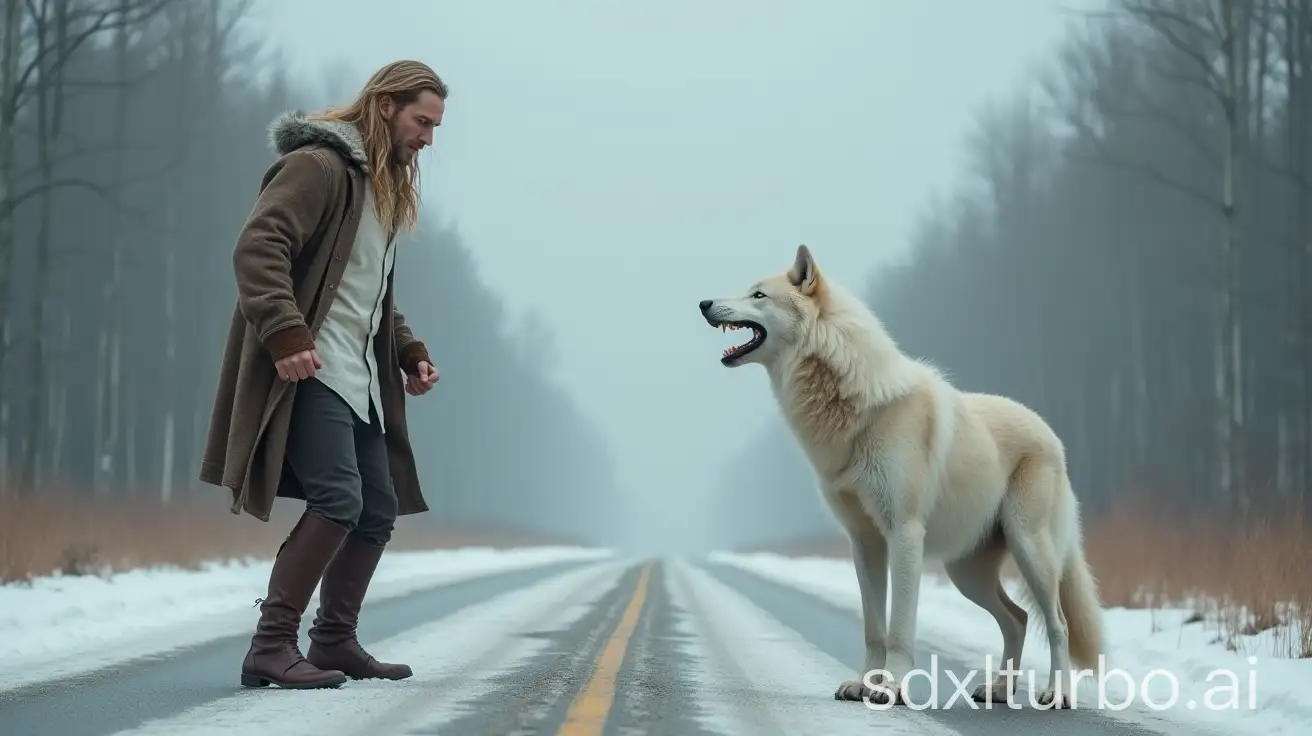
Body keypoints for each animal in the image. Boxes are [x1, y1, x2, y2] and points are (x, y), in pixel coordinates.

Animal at [703, 244, 1102, 708]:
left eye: (758, 295)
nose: (704, 303)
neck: (853, 410)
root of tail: (1052, 433)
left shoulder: (905, 533)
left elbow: (898, 628)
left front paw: (891, 687)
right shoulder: (864, 542)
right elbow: (873, 628)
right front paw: (863, 684)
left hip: (1030, 551)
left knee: (1057, 624)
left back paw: (1057, 693)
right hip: (967, 575)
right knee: (1017, 619)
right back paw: (999, 690)